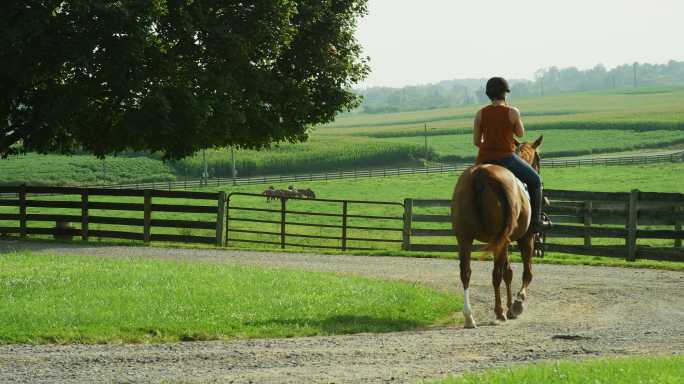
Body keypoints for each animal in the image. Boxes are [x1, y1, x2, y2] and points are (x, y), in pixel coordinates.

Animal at [452, 134, 544, 328]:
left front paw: (510, 306)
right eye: (539, 159)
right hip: (501, 238)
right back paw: (499, 313)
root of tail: (480, 175)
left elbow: (508, 272)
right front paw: (516, 303)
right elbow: (526, 273)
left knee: (466, 273)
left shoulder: (504, 241)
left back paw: (469, 316)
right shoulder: (526, 238)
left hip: (465, 238)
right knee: (496, 274)